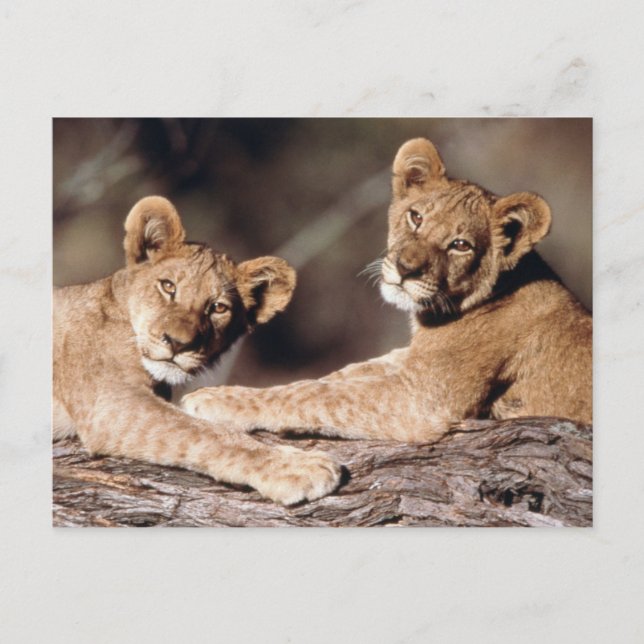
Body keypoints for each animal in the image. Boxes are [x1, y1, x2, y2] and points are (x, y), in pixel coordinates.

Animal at [53, 196, 341, 505]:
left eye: (218, 308)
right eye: (168, 286)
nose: (179, 343)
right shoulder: (111, 403)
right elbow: (205, 433)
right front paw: (296, 467)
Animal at [182, 138, 592, 442]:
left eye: (460, 245)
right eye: (416, 217)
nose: (406, 269)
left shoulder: (422, 399)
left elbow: (319, 394)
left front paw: (217, 400)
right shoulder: (411, 362)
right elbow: (338, 376)